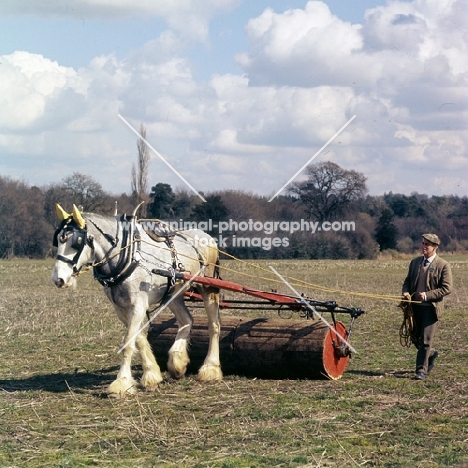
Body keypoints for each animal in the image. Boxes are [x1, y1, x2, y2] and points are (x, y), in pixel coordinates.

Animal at [50, 203, 222, 396]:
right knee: (186, 320)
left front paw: (121, 382)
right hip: (173, 294)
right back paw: (177, 362)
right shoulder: (121, 308)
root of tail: (206, 236)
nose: (58, 279)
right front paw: (152, 374)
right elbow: (138, 339)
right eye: (58, 240)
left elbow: (127, 343)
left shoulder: (138, 304)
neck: (126, 256)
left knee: (214, 325)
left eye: (76, 242)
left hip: (208, 288)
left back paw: (210, 368)